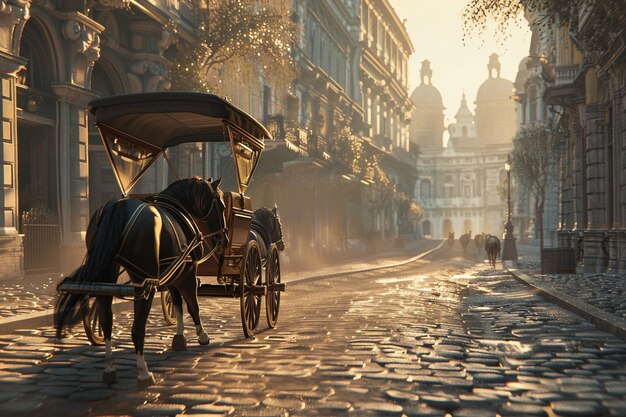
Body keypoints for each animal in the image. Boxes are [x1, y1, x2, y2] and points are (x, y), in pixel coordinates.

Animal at [55, 176, 227, 386]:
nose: (224, 238)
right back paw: (143, 372)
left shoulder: (172, 273)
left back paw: (110, 368)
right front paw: (202, 336)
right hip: (143, 282)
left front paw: (179, 338)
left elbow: (177, 303)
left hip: (109, 272)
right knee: (137, 328)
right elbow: (192, 305)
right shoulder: (187, 273)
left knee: (106, 319)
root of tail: (118, 206)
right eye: (222, 205)